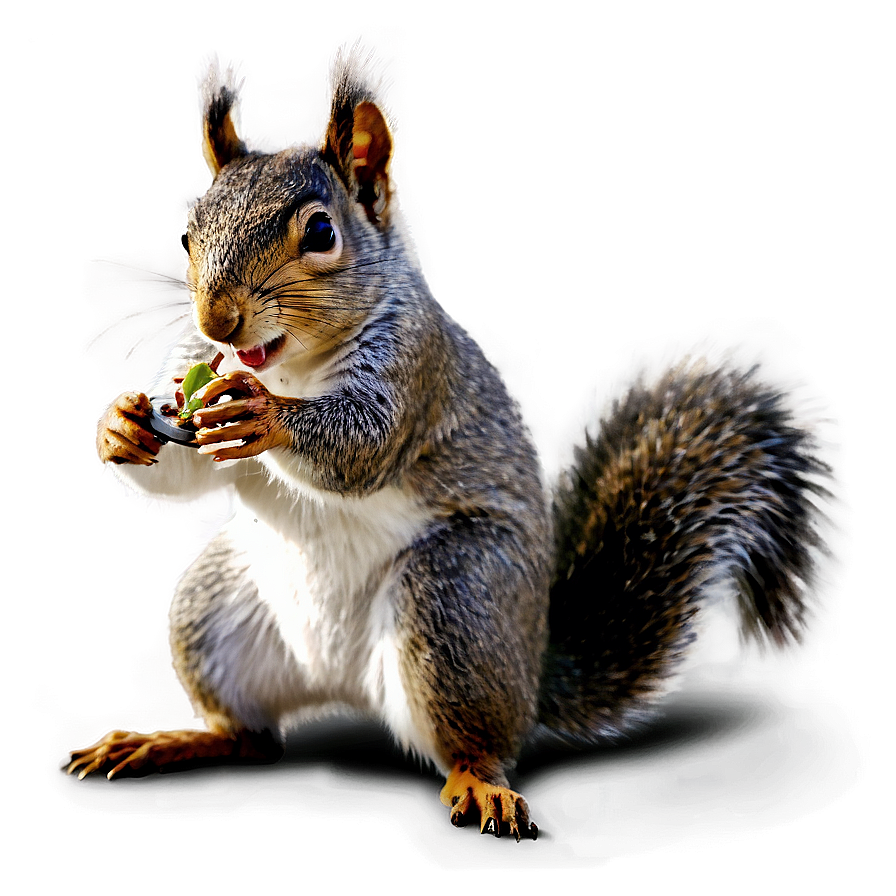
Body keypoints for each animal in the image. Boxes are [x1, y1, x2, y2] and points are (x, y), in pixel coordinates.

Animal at [65, 45, 835, 840]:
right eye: (188, 236)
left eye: (321, 233)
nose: (217, 321)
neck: (290, 365)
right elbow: (181, 472)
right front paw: (121, 424)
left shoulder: (413, 369)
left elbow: (361, 447)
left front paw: (266, 416)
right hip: (216, 607)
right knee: (252, 738)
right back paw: (173, 741)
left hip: (454, 601)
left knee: (475, 742)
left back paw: (479, 785)